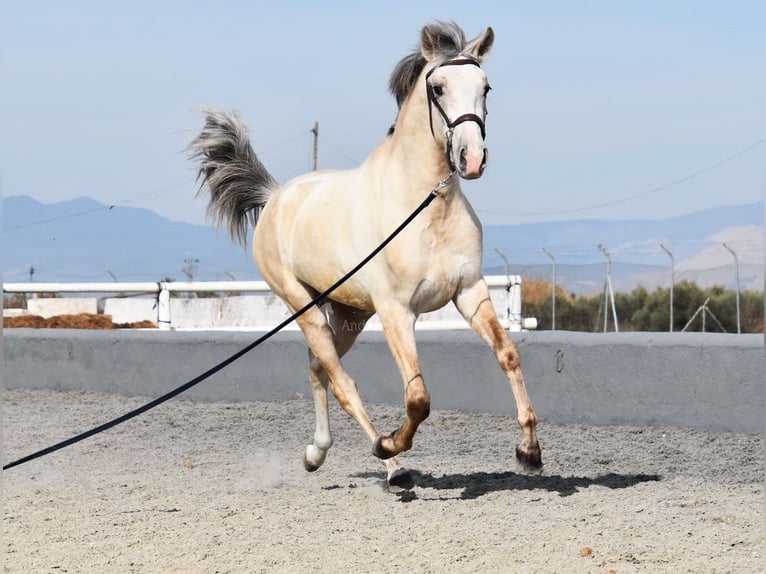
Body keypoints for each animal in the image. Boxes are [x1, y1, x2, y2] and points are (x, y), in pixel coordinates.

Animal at [189, 21, 544, 490]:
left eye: (485, 87)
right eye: (438, 88)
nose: (471, 159)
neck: (426, 207)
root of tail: (275, 198)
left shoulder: (470, 292)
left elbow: (507, 355)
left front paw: (529, 452)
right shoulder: (397, 312)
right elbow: (418, 398)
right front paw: (391, 444)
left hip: (349, 314)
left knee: (318, 368)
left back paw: (316, 454)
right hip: (304, 306)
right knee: (342, 383)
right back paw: (390, 464)